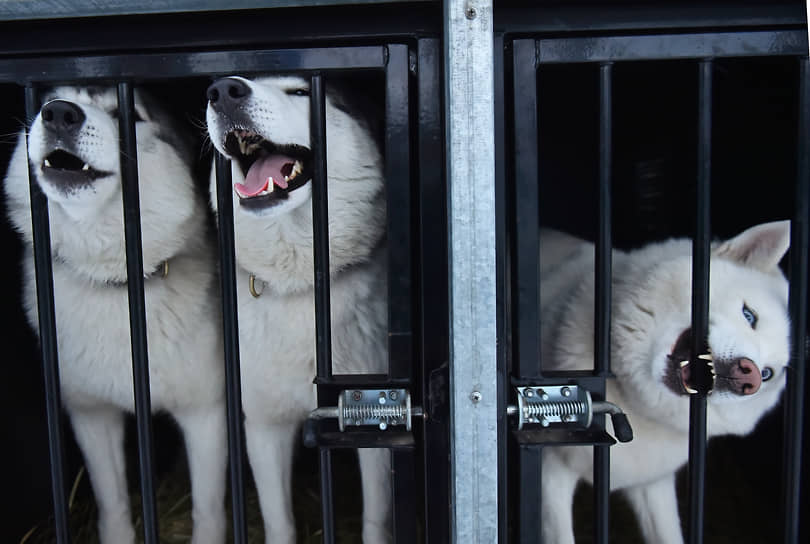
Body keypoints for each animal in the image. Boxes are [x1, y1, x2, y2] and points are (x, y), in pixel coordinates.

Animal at [6, 87, 227, 540]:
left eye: (130, 115)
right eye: (51, 99)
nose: (58, 113)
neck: (116, 282)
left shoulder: (206, 412)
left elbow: (208, 511)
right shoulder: (91, 414)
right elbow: (113, 505)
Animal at [204, 73, 390, 544]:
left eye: (302, 92)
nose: (224, 90)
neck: (301, 284)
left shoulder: (376, 425)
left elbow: (376, 521)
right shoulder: (263, 425)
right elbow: (279, 520)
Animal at [536, 222, 788, 544]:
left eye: (767, 374)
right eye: (749, 315)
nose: (750, 376)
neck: (633, 400)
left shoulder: (652, 484)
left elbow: (668, 533)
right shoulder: (550, 470)